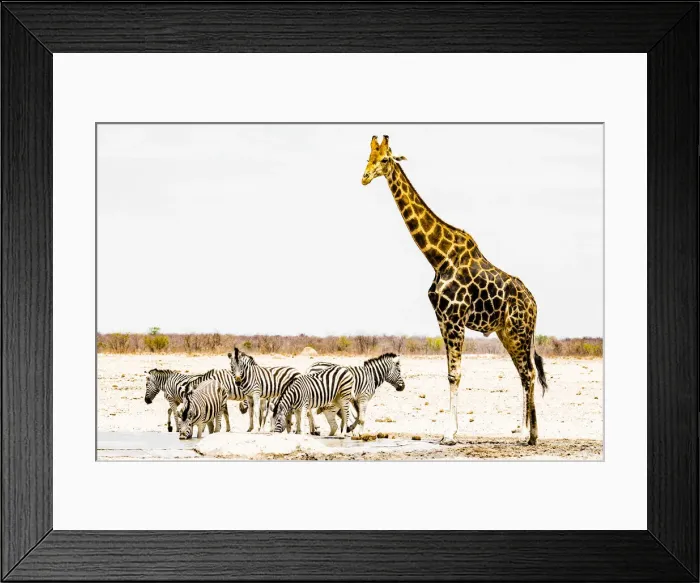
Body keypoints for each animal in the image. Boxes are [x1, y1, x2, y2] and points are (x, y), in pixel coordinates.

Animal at [361, 135, 548, 446]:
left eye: (385, 159)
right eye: (368, 157)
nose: (364, 177)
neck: (439, 258)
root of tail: (535, 304)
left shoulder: (456, 318)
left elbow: (455, 374)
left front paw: (449, 434)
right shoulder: (442, 319)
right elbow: (449, 372)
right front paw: (450, 431)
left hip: (520, 331)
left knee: (529, 373)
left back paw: (532, 435)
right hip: (507, 333)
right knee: (523, 373)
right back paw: (523, 432)